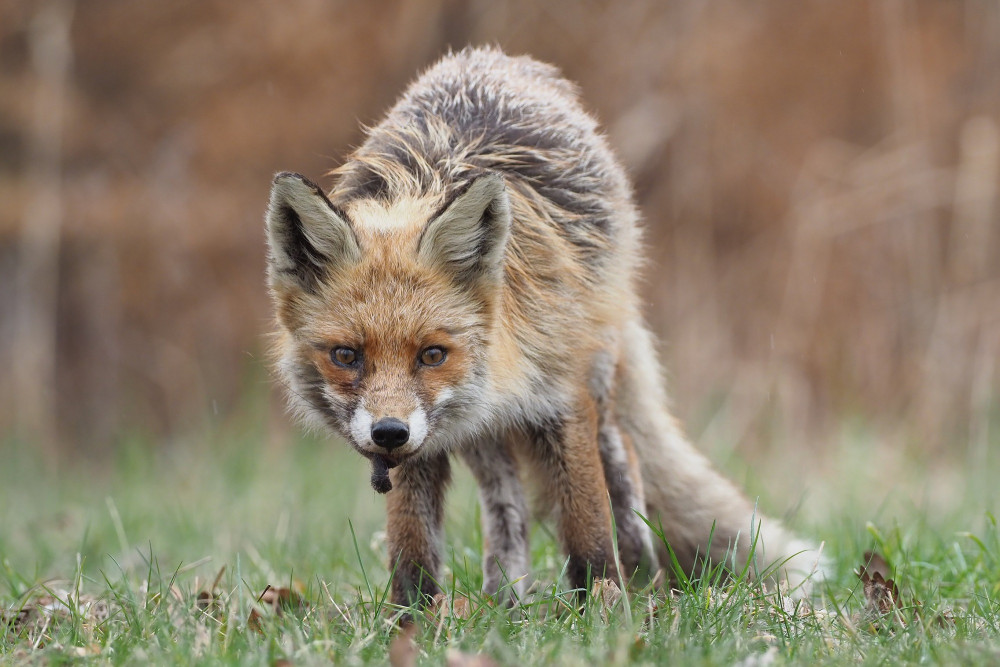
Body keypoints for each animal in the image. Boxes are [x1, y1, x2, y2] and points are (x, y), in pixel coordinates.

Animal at [262, 47, 824, 612]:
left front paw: (601, 606)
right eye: (346, 355)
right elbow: (413, 543)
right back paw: (505, 598)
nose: (389, 432)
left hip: (597, 375)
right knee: (506, 504)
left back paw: (640, 570)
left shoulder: (563, 394)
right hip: (478, 432)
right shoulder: (427, 446)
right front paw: (413, 615)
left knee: (624, 459)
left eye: (432, 354)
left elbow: (587, 523)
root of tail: (497, 58)